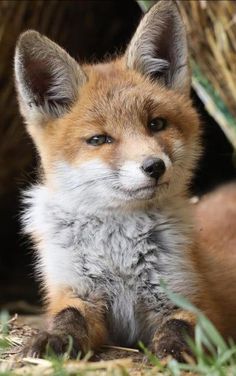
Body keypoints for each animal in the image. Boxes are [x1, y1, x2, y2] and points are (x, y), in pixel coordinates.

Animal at [14, 0, 236, 362]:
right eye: (99, 139)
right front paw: (51, 340)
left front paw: (173, 350)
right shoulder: (75, 291)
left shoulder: (192, 299)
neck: (119, 253)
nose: (154, 166)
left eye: (156, 124)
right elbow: (67, 317)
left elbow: (181, 328)